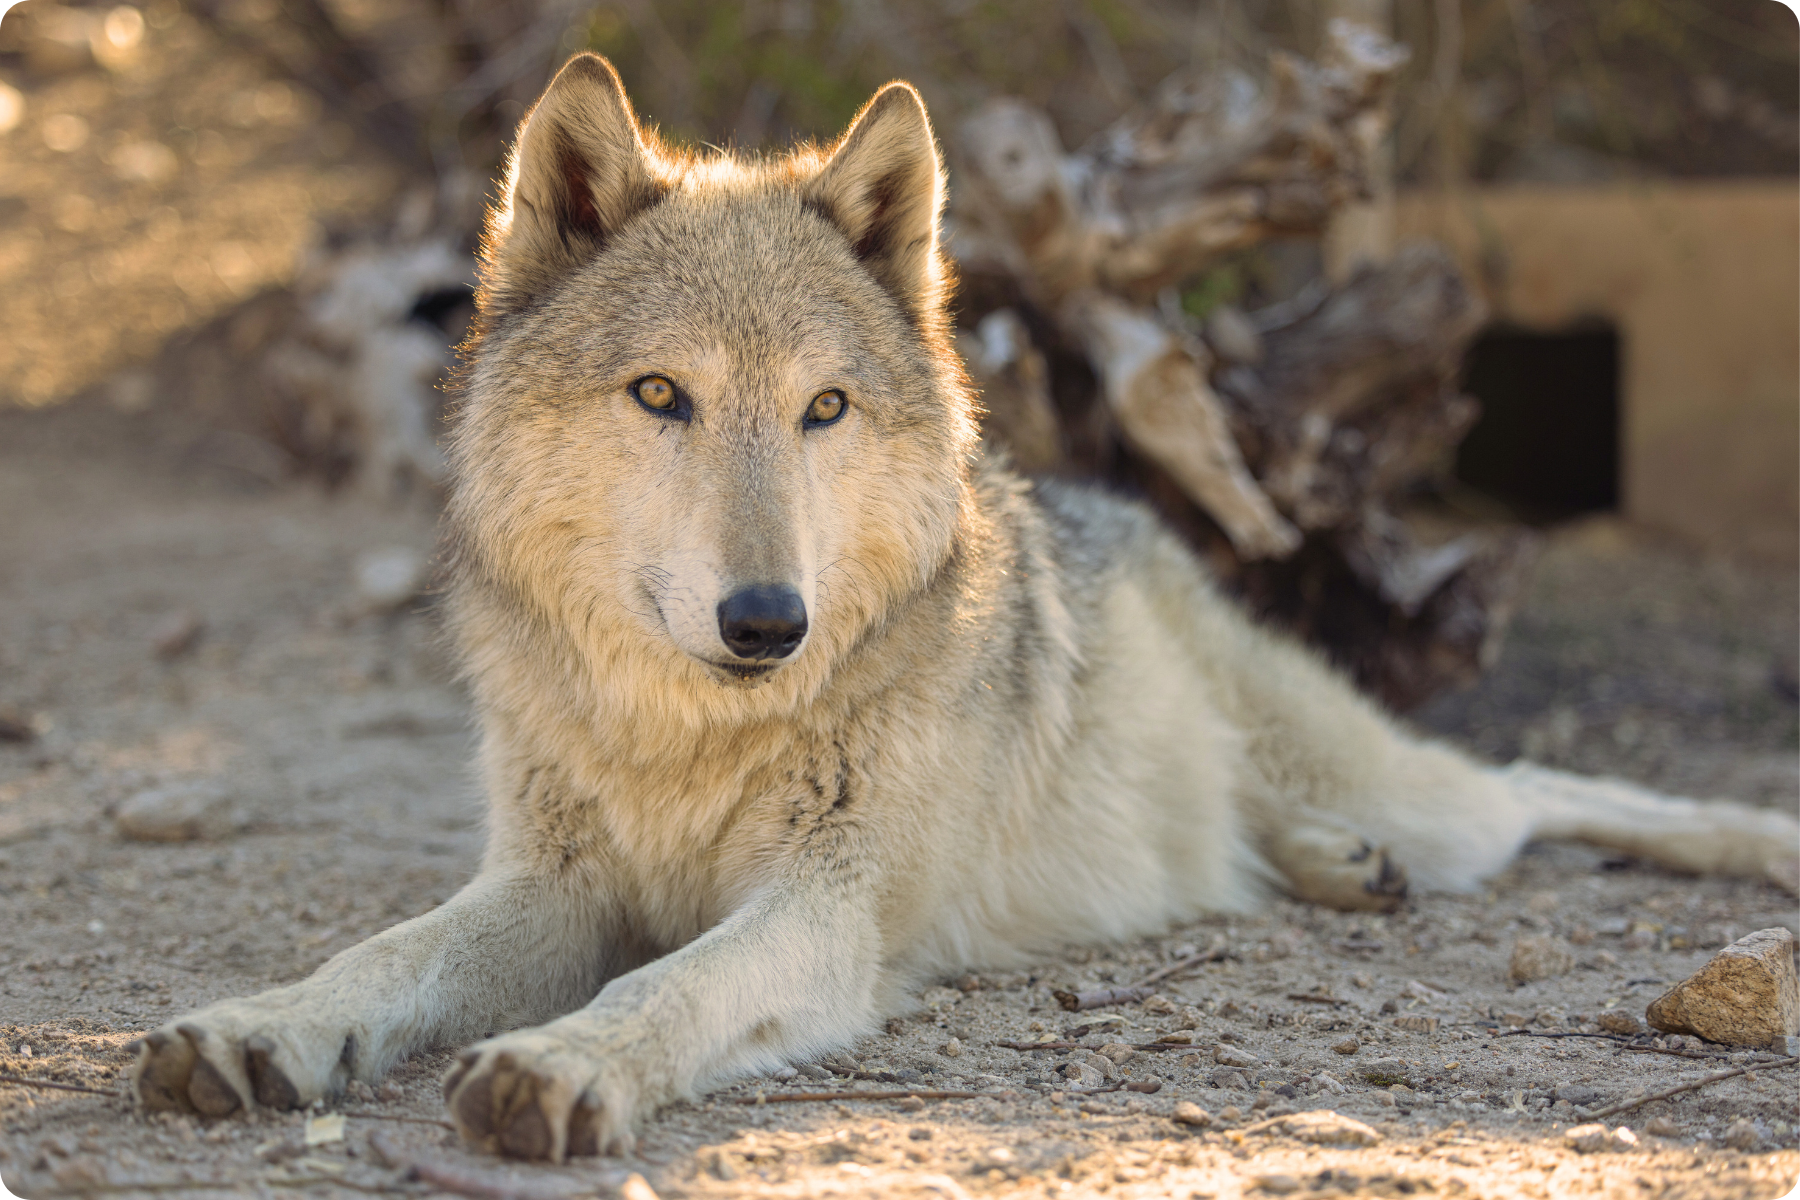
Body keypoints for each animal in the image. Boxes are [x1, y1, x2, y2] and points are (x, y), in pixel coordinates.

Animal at [133, 53, 1800, 1165]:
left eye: (823, 409)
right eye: (663, 396)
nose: (769, 622)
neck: (690, 742)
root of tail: (1129, 513)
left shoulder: (828, 910)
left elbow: (673, 983)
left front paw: (561, 1062)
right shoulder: (546, 884)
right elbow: (381, 960)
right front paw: (257, 1030)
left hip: (1425, 791)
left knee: (1537, 783)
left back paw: (1745, 845)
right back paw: (1335, 866)